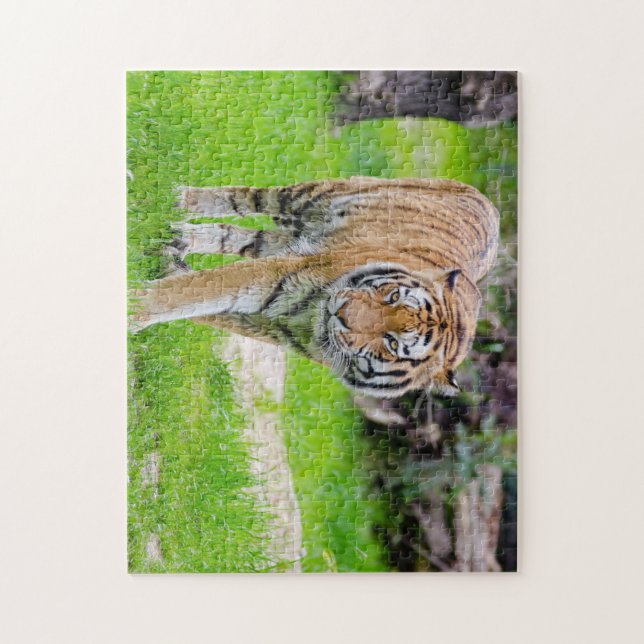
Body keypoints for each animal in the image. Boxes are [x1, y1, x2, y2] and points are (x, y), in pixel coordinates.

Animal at [129, 177, 499, 398]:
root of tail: (491, 207)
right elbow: (196, 290)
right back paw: (176, 200)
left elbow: (206, 304)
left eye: (391, 344)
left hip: (279, 240)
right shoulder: (280, 274)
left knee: (235, 235)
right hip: (309, 197)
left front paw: (165, 268)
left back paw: (176, 237)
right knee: (243, 199)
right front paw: (135, 309)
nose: (344, 313)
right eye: (392, 296)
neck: (312, 319)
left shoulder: (271, 323)